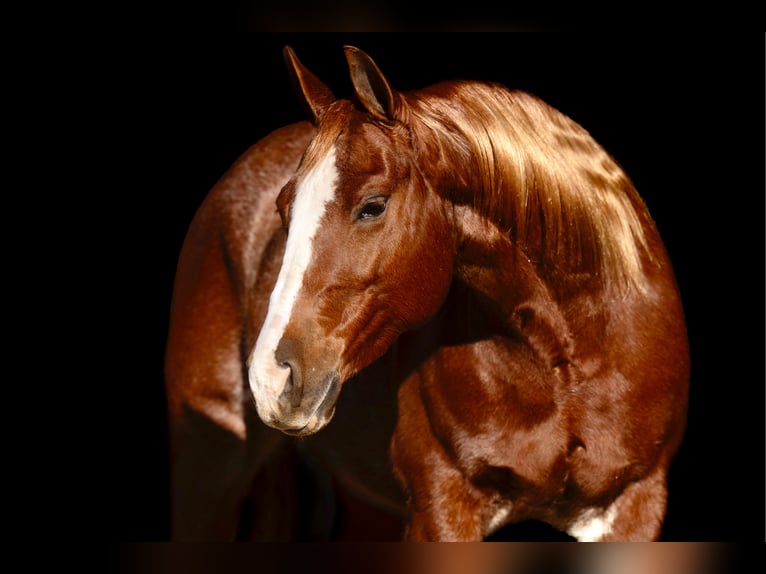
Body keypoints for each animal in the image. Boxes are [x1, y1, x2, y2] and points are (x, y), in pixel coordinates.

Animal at [165, 46, 692, 544]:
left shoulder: (635, 506)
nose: (269, 378)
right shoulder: (441, 508)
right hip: (206, 469)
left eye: (373, 206)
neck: (569, 364)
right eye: (283, 206)